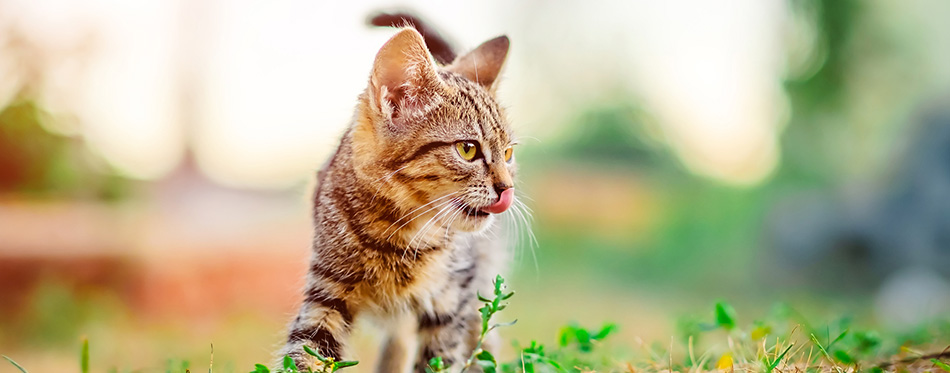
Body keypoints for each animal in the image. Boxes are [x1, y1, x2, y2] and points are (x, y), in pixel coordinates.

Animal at [278, 14, 520, 372]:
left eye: (508, 154)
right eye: (468, 149)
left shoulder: (451, 302)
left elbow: (441, 360)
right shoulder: (326, 294)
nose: (507, 188)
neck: (397, 235)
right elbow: (305, 354)